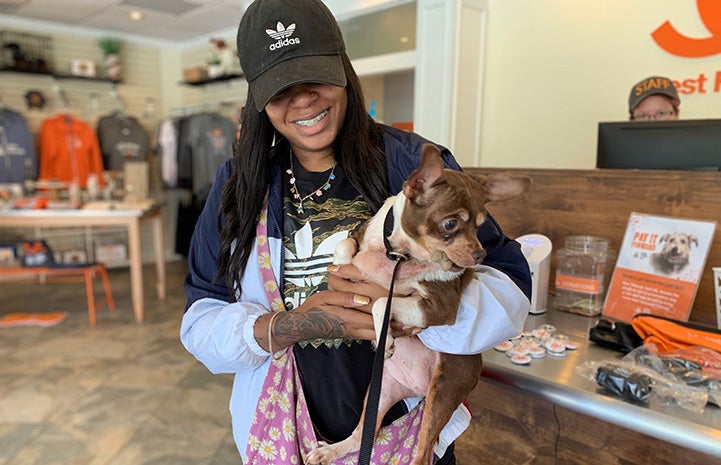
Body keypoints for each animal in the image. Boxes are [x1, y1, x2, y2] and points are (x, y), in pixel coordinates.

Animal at [304, 144, 528, 464]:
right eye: (450, 224)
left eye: (480, 226)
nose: (480, 254)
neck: (400, 255)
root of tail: (416, 388)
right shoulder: (360, 237)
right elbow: (345, 246)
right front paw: (343, 269)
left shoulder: (438, 307)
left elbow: (380, 301)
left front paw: (384, 337)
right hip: (380, 390)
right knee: (363, 435)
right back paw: (332, 450)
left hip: (443, 389)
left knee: (422, 452)